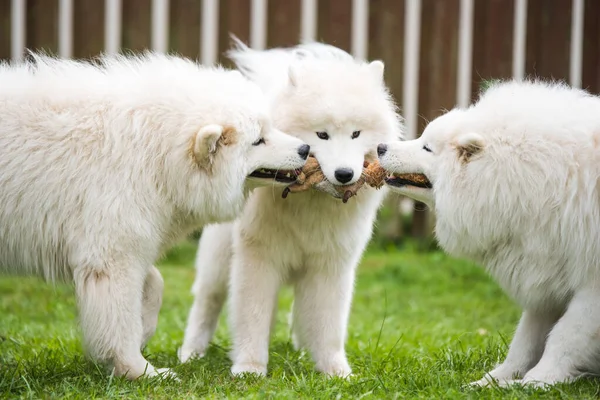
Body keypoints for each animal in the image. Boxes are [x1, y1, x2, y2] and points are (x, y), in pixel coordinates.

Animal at [0, 52, 310, 378]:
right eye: (258, 140)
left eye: (270, 128)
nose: (305, 148)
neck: (154, 151)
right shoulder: (111, 254)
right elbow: (119, 320)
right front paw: (140, 371)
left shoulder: (118, 244)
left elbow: (154, 283)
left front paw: (143, 331)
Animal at [178, 39, 404, 378]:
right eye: (322, 134)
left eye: (356, 133)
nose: (344, 174)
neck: (311, 203)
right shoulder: (259, 258)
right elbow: (253, 316)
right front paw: (249, 367)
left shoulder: (331, 265)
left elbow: (329, 325)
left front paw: (335, 371)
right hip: (217, 262)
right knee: (207, 302)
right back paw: (191, 352)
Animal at [378, 78, 600, 388]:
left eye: (427, 148)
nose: (380, 146)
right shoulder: (548, 270)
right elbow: (526, 339)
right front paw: (495, 382)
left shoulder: (591, 285)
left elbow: (566, 334)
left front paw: (538, 381)